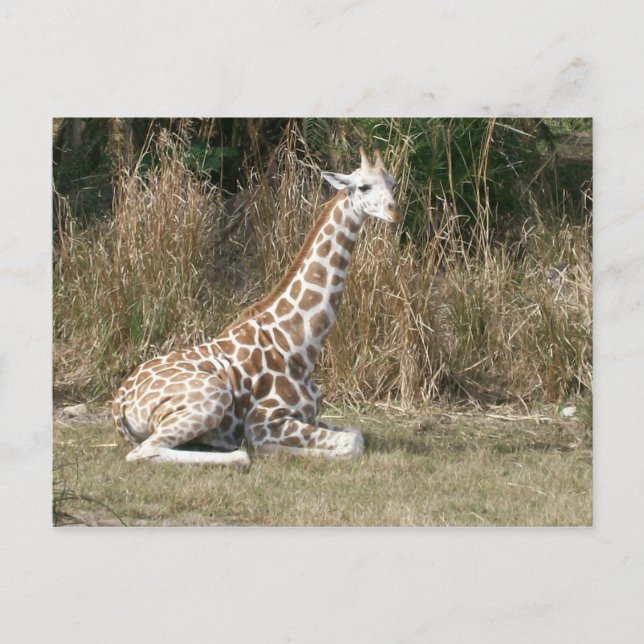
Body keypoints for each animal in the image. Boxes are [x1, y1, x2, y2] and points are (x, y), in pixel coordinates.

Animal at [112, 147, 401, 470]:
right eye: (363, 186)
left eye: (393, 183)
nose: (395, 213)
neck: (300, 345)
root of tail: (120, 402)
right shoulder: (266, 421)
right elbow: (350, 444)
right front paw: (270, 450)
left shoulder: (310, 415)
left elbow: (356, 433)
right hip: (212, 397)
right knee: (145, 450)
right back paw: (239, 455)